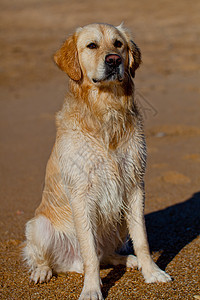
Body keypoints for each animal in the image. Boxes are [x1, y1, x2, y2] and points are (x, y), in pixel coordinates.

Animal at [23, 23, 170, 300]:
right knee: (53, 258)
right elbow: (89, 251)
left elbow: (142, 239)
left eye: (118, 44)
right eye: (92, 45)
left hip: (119, 220)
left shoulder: (135, 186)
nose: (113, 60)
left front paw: (152, 272)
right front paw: (92, 289)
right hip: (39, 226)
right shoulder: (81, 192)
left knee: (106, 255)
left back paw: (128, 260)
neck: (106, 108)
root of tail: (72, 263)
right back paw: (42, 271)